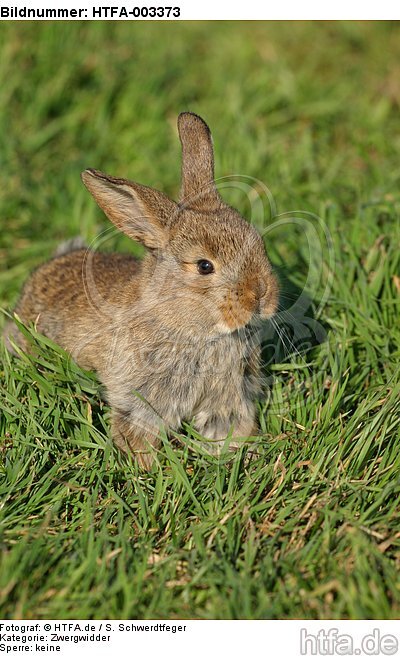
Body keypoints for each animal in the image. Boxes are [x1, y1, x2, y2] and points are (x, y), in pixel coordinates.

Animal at [4, 112, 279, 468]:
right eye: (204, 266)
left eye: (258, 242)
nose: (261, 296)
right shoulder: (141, 400)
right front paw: (147, 469)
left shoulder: (227, 399)